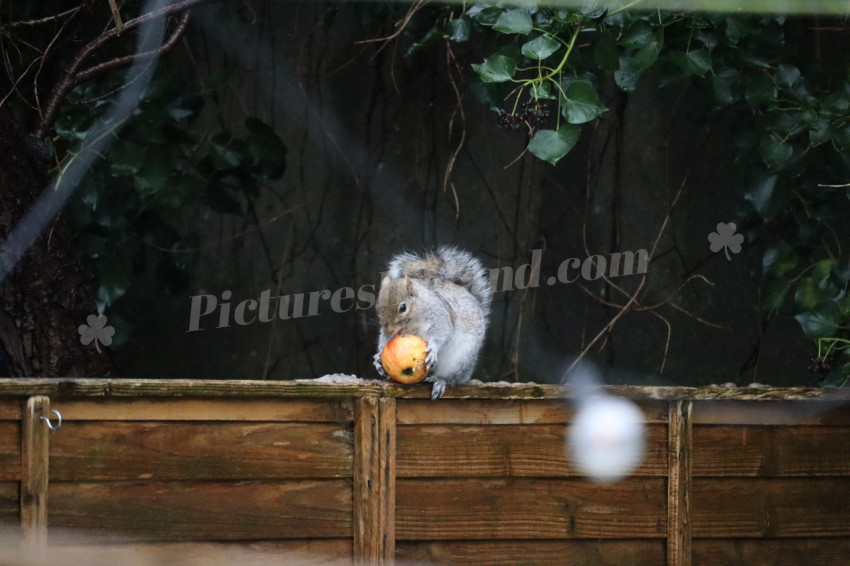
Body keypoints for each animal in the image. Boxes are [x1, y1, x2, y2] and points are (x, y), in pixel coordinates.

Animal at [373, 246, 492, 399]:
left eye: (403, 308)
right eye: (377, 307)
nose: (388, 331)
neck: (411, 323)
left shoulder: (439, 314)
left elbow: (443, 330)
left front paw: (433, 348)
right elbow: (384, 341)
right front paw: (378, 357)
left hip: (459, 362)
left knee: (452, 379)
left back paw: (439, 381)